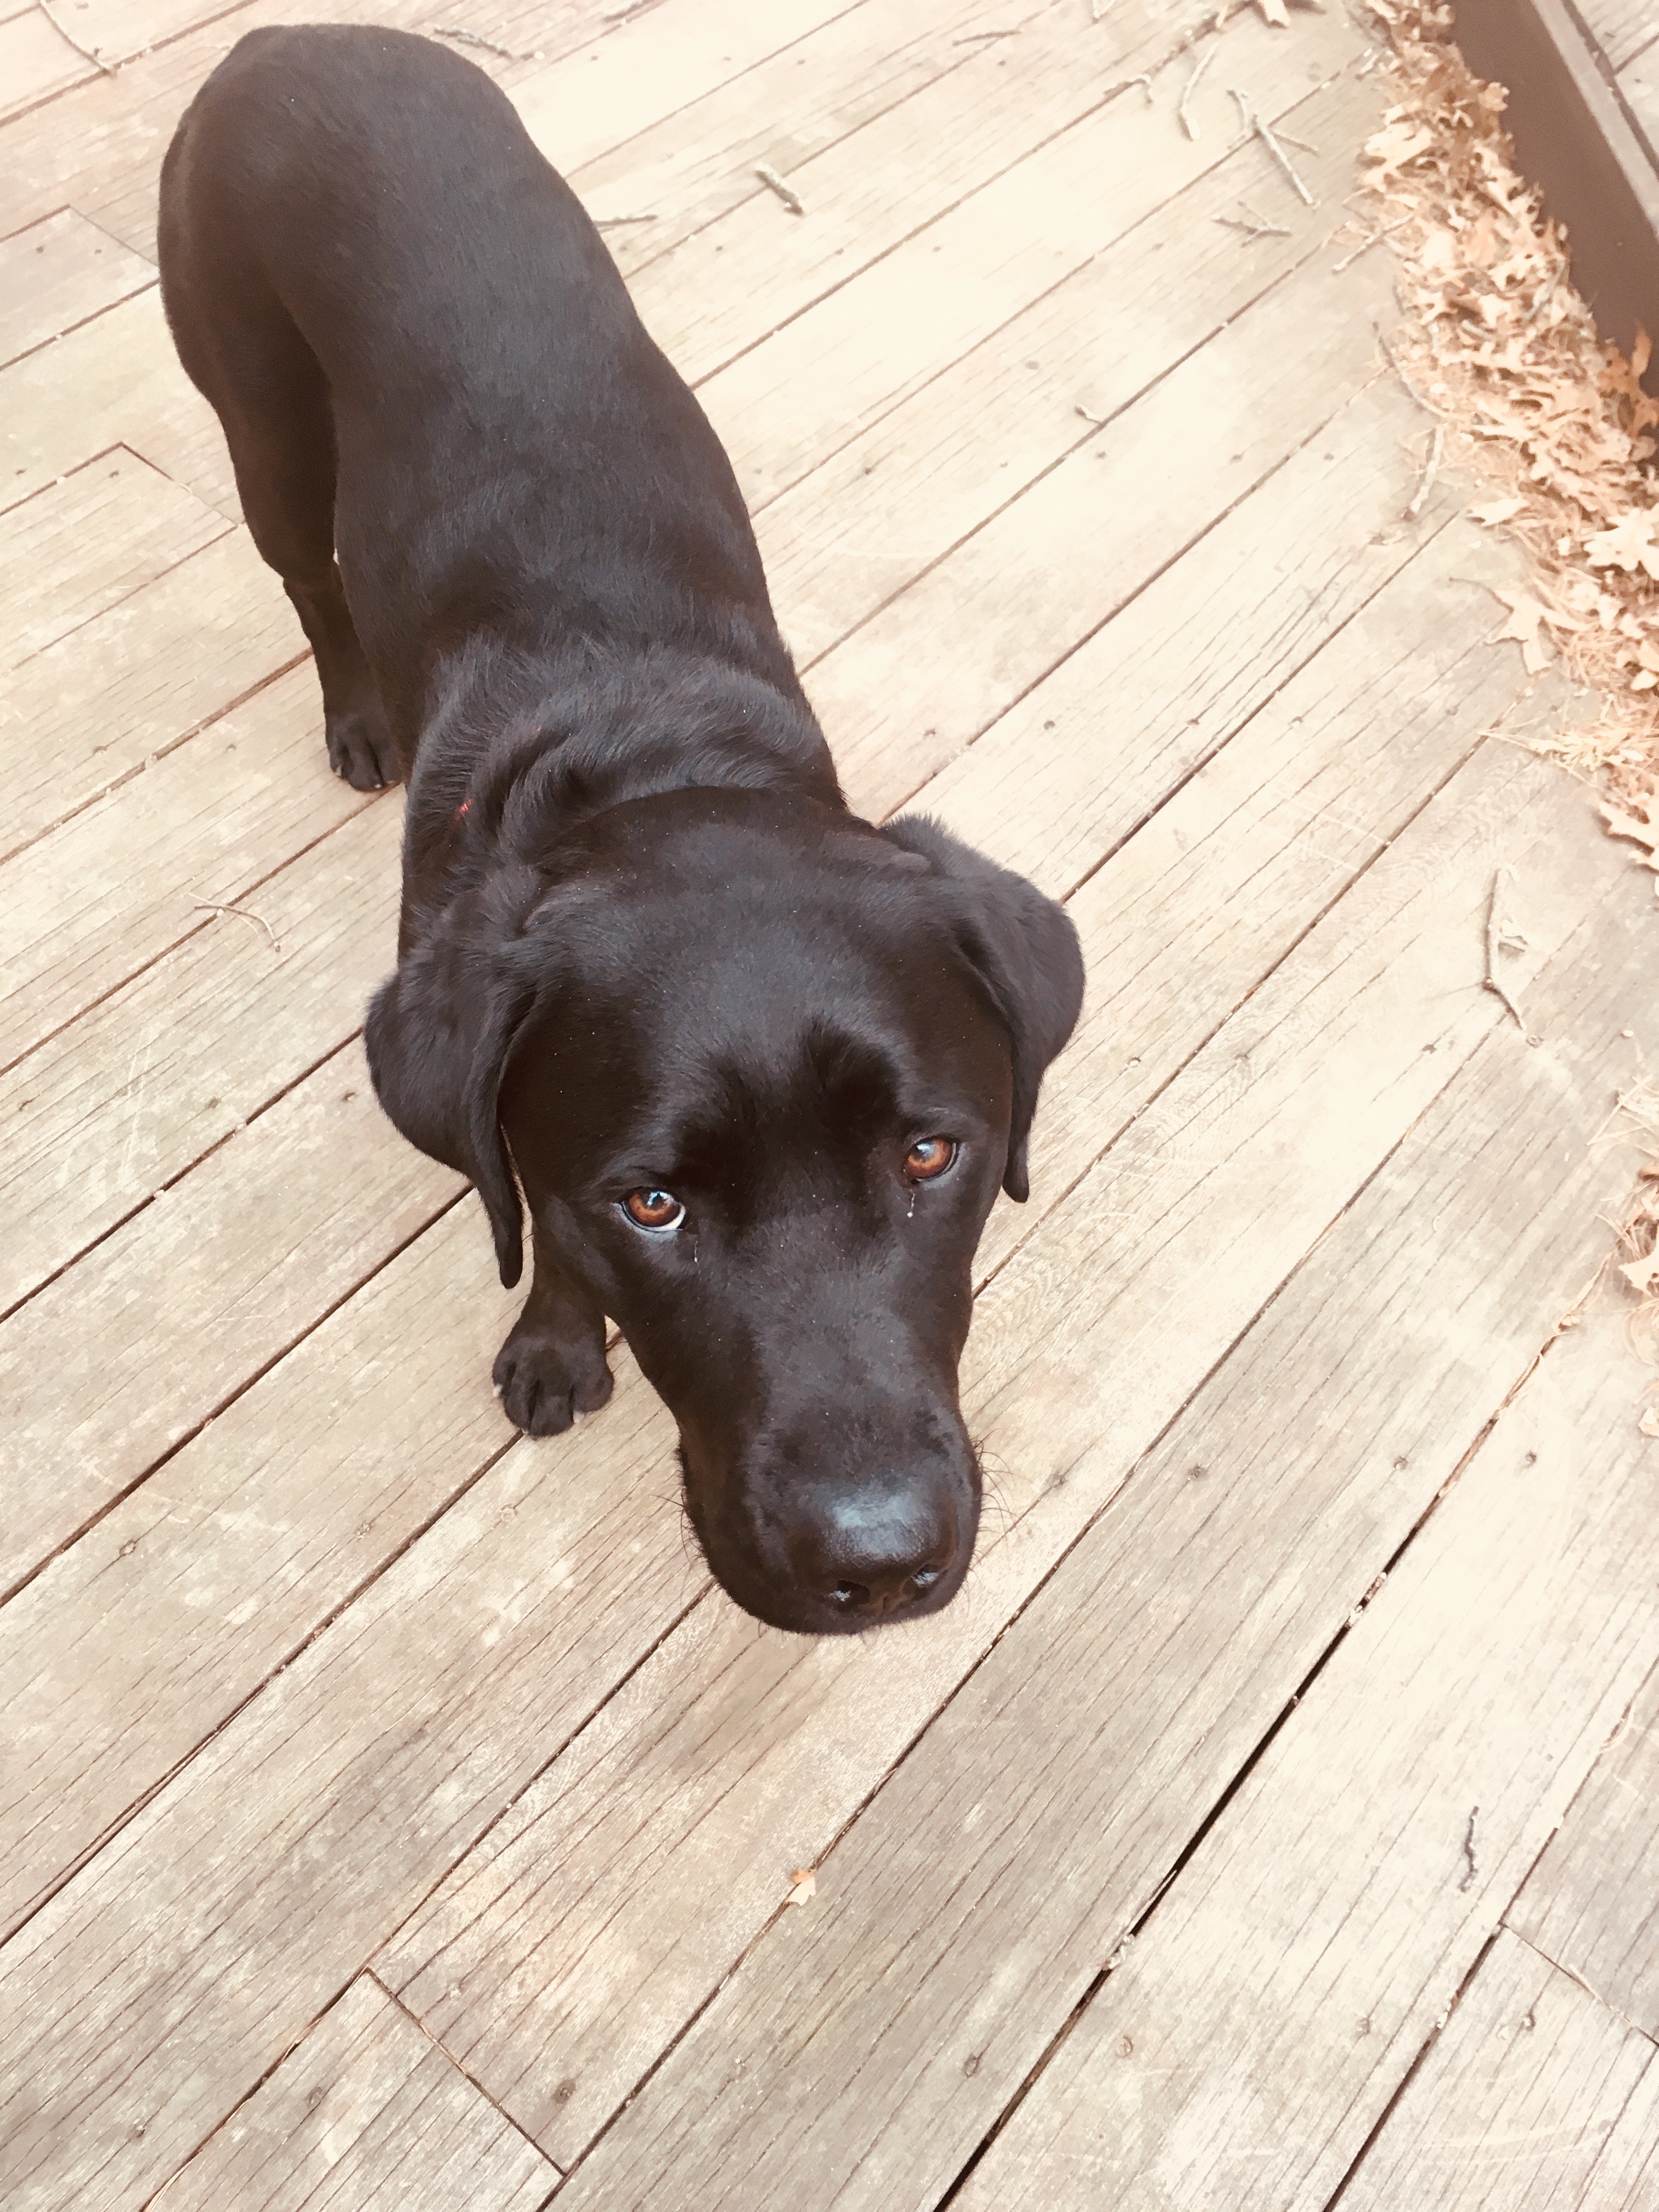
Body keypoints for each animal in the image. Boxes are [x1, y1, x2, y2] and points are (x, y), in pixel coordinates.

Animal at [162, 26, 1084, 1637]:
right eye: (650, 1204)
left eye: (931, 1156)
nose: (877, 1562)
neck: (643, 748)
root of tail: (289, 35)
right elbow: (537, 1224)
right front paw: (555, 1340)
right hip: (260, 421)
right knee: (309, 575)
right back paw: (356, 714)